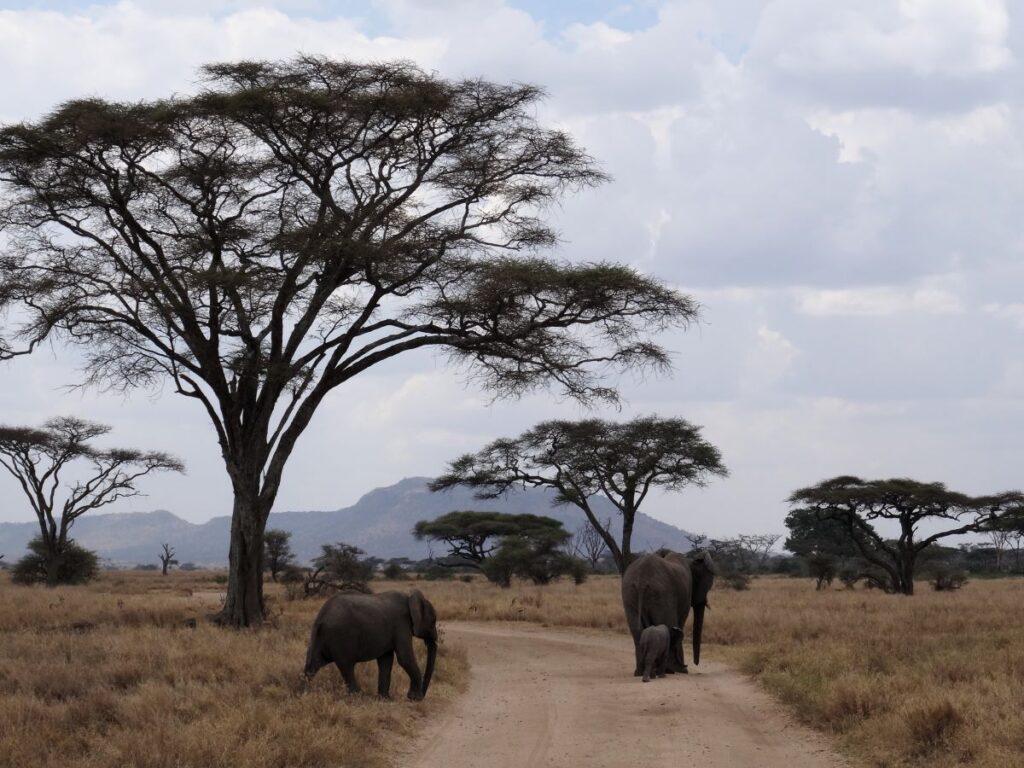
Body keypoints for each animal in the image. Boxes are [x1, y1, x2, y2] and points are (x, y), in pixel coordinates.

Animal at [303, 589, 438, 700]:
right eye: (433, 622)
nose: (422, 696)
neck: (410, 598)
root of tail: (321, 617)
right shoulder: (401, 624)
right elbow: (404, 658)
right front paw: (414, 698)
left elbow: (386, 660)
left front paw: (386, 699)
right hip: (341, 636)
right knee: (347, 666)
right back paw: (359, 697)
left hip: (320, 637)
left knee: (313, 665)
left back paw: (304, 691)